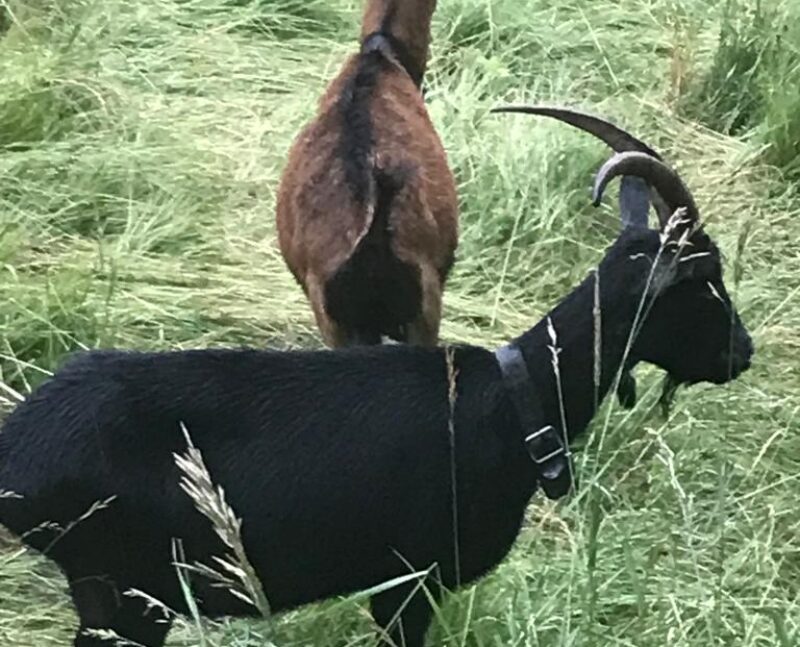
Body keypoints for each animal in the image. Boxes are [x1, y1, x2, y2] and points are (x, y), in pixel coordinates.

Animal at [0, 114, 752, 644]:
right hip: (129, 591)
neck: (513, 400)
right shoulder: (409, 581)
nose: (741, 353)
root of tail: (18, 447)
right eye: (705, 280)